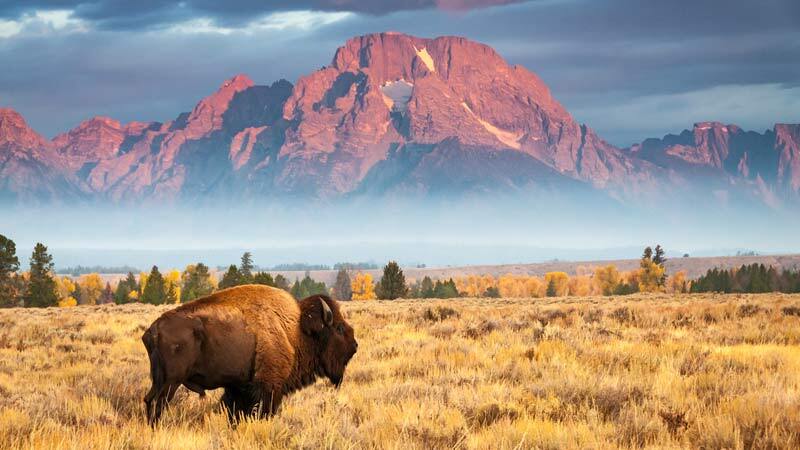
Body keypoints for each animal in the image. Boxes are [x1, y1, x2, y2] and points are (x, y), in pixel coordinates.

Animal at [141, 284, 360, 426]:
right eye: (339, 328)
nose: (355, 345)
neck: (296, 329)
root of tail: (153, 329)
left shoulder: (239, 387)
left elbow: (234, 412)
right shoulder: (269, 387)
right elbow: (263, 411)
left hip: (159, 380)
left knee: (149, 400)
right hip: (170, 382)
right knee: (158, 403)